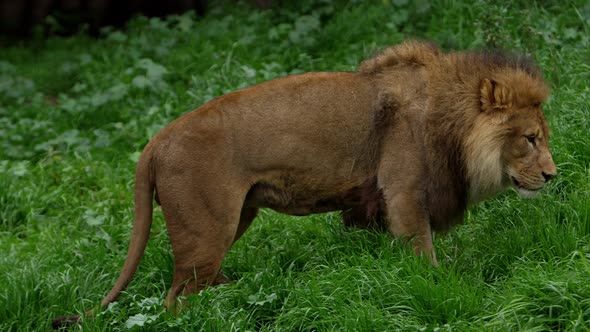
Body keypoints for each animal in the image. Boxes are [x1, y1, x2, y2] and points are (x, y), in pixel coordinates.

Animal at [53, 40, 556, 328]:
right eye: (530, 139)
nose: (553, 175)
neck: (449, 119)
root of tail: (155, 140)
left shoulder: (374, 204)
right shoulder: (404, 193)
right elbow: (423, 254)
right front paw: (439, 284)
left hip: (236, 217)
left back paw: (239, 294)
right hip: (207, 229)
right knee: (175, 301)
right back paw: (223, 312)